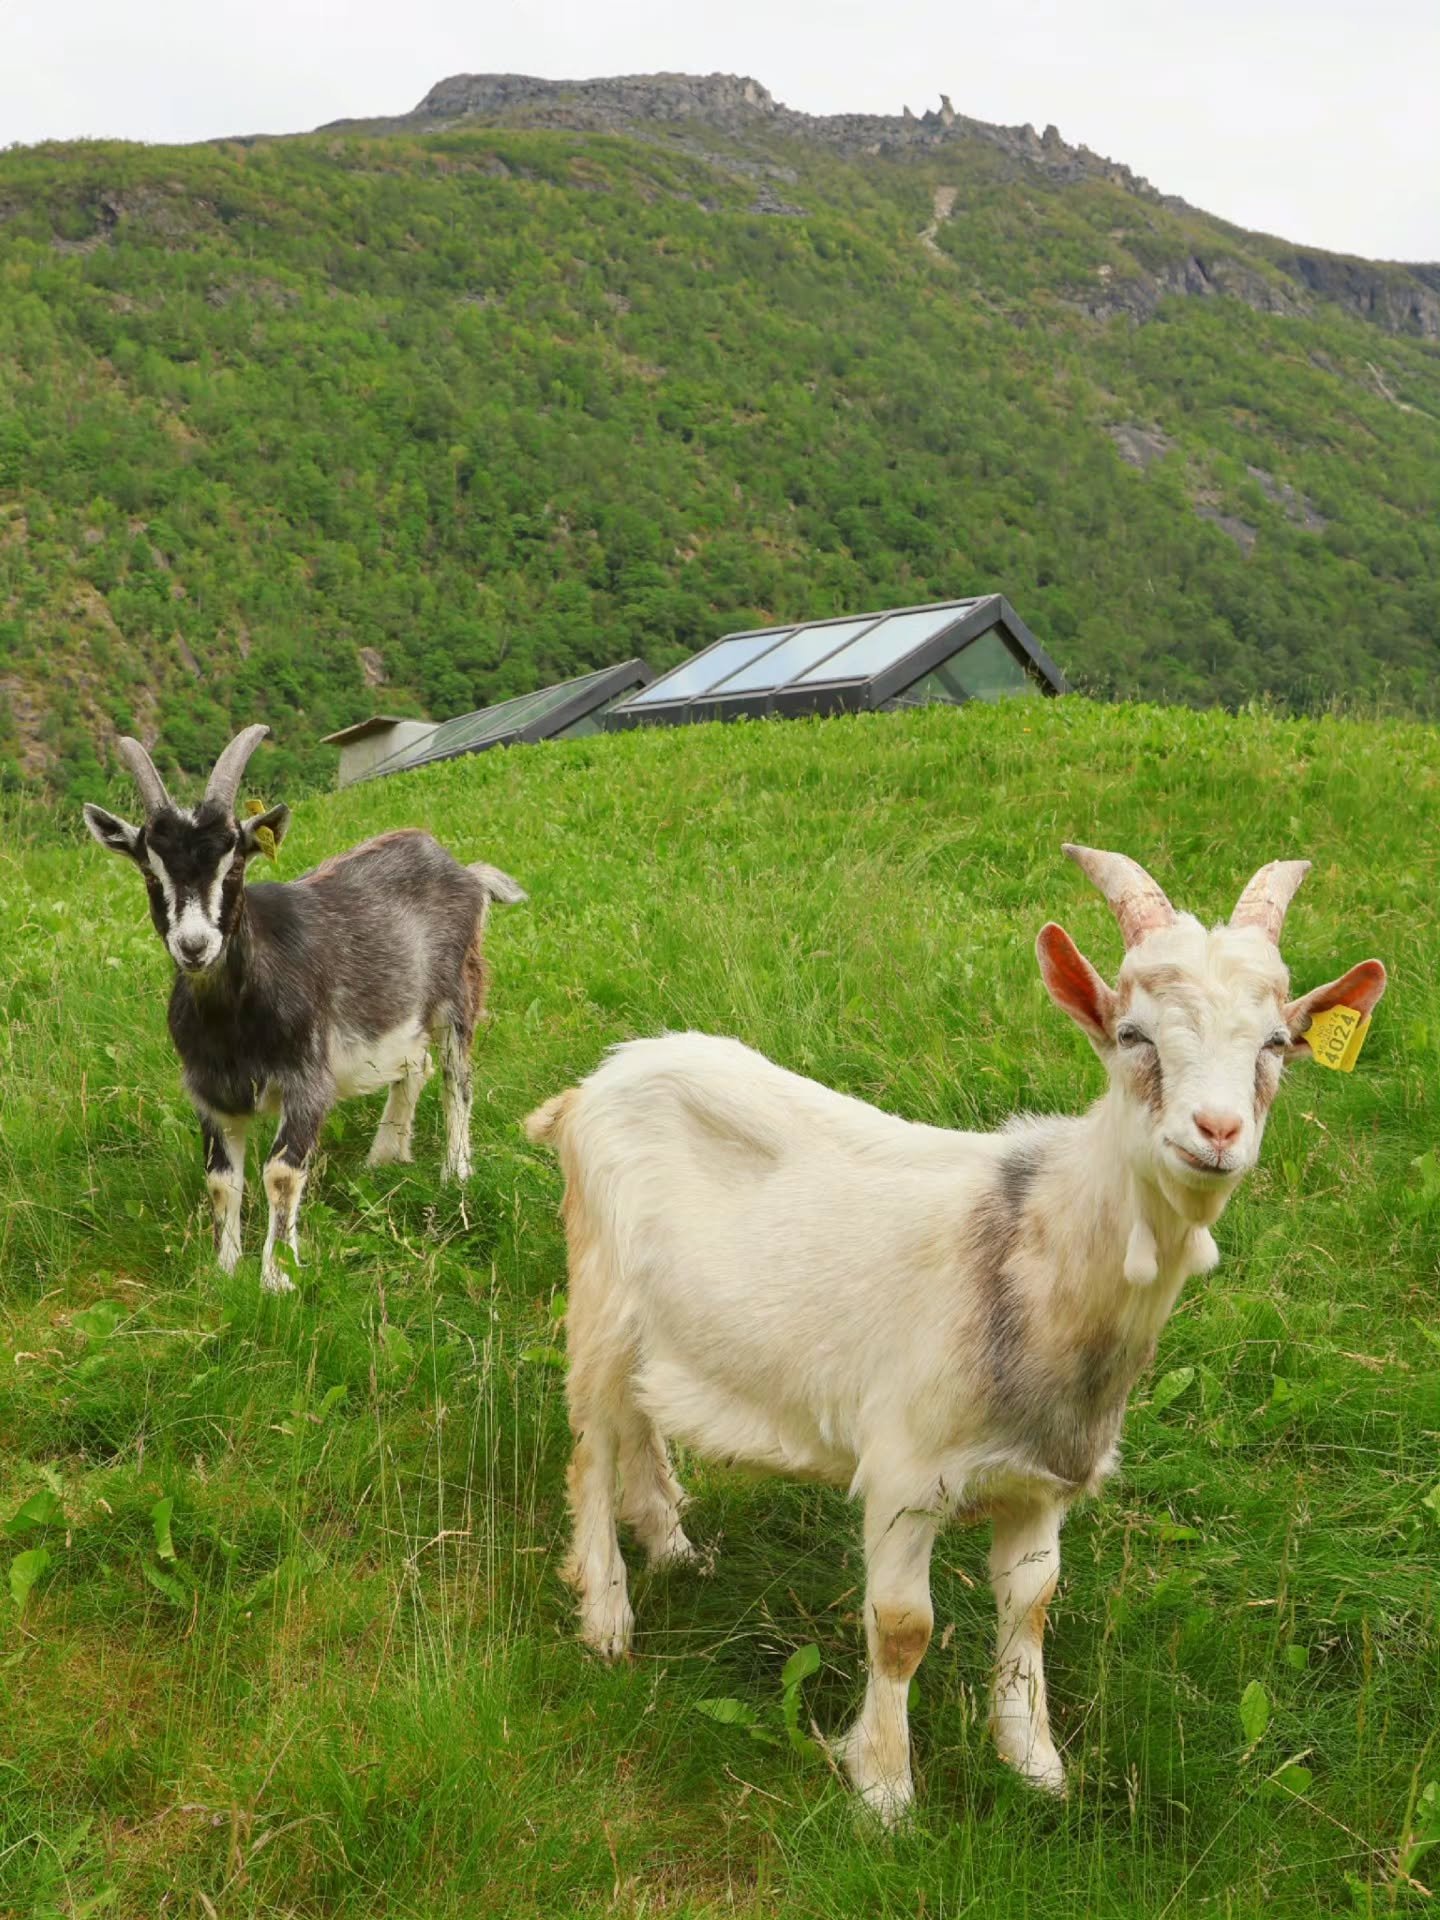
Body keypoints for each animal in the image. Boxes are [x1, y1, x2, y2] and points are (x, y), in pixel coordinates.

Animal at [84, 726, 526, 1294]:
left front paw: (278, 1276)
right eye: (149, 869)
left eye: (235, 862)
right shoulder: (209, 1092)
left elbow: (280, 1172)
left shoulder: (307, 1079)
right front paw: (225, 1271)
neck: (234, 1020)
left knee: (457, 1076)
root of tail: (461, 869)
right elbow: (221, 1180)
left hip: (459, 991)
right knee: (416, 1065)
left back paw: (456, 1171)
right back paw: (386, 1155)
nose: (194, 945)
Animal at [525, 846, 1386, 1822]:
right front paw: (885, 1791)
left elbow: (1032, 1604)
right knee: (591, 1444)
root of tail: (589, 1088)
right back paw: (608, 1616)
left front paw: (1035, 1762)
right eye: (1133, 1035)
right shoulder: (905, 1473)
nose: (1217, 1131)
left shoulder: (1044, 1481)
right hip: (599, 1297)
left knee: (638, 1416)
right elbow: (903, 1628)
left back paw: (671, 1541)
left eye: (1275, 1044)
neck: (1029, 1245)